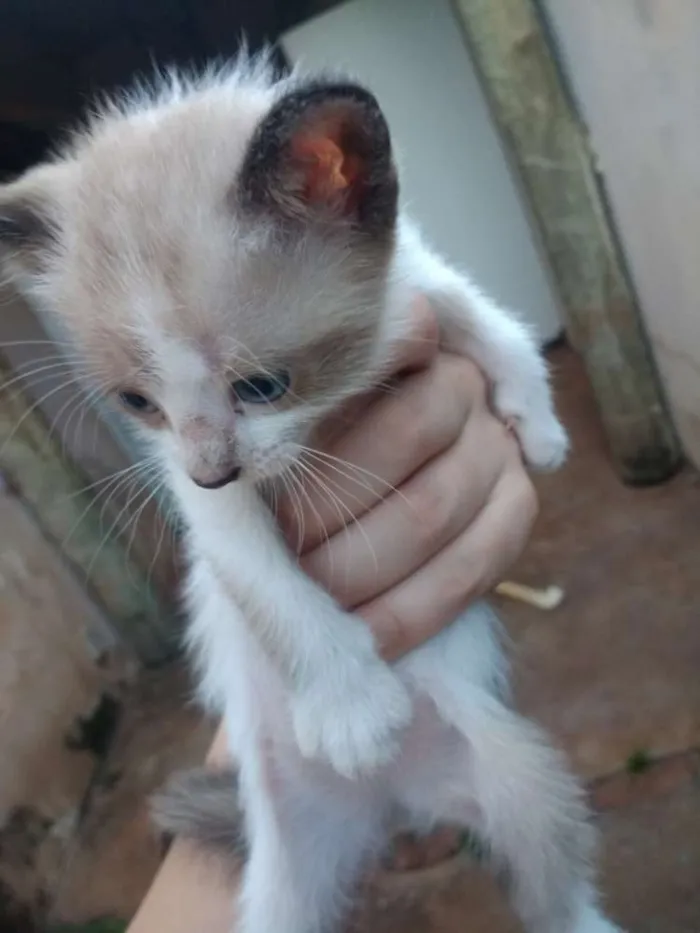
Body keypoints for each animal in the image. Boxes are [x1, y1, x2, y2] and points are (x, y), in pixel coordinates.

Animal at [1, 49, 624, 932]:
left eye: (263, 385)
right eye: (137, 402)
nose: (211, 467)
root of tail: (393, 805)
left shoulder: (410, 287)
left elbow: (488, 318)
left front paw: (538, 428)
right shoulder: (203, 497)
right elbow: (267, 587)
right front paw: (350, 707)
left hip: (515, 780)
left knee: (553, 887)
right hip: (281, 866)